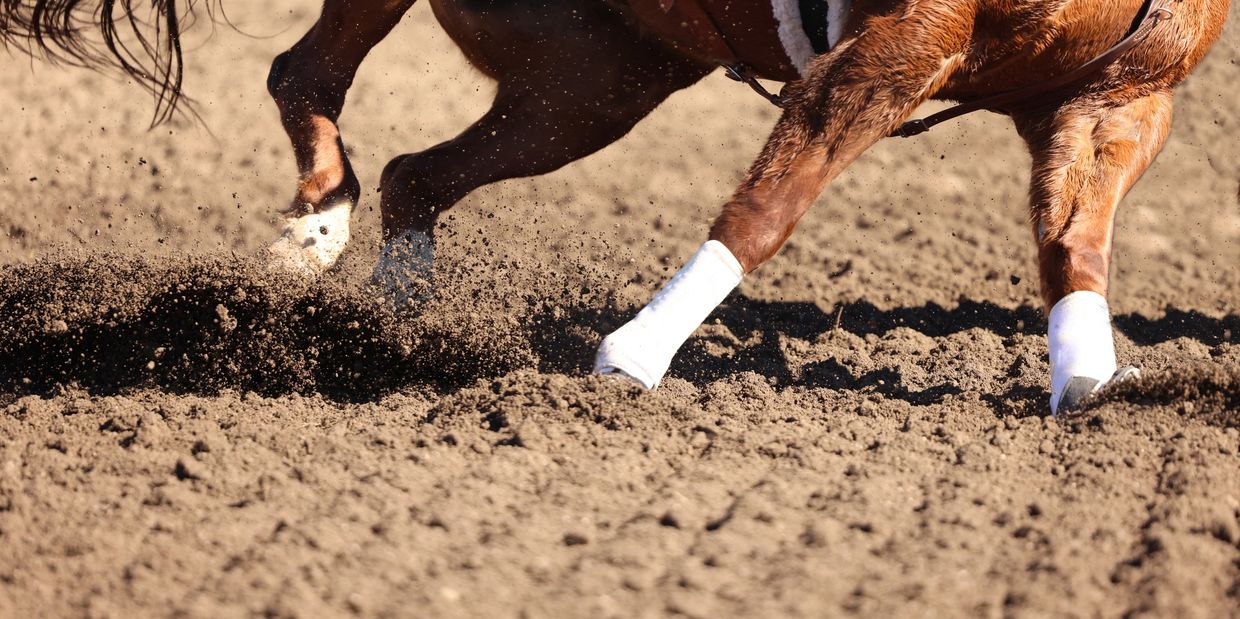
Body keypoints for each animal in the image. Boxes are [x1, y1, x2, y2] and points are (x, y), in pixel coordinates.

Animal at [1, 0, 1230, 413]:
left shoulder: (1119, 98)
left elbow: (1072, 241)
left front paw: (1092, 380)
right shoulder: (892, 49)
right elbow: (768, 207)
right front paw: (634, 354)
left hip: (592, 82)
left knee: (413, 173)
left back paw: (391, 317)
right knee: (306, 77)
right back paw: (310, 240)